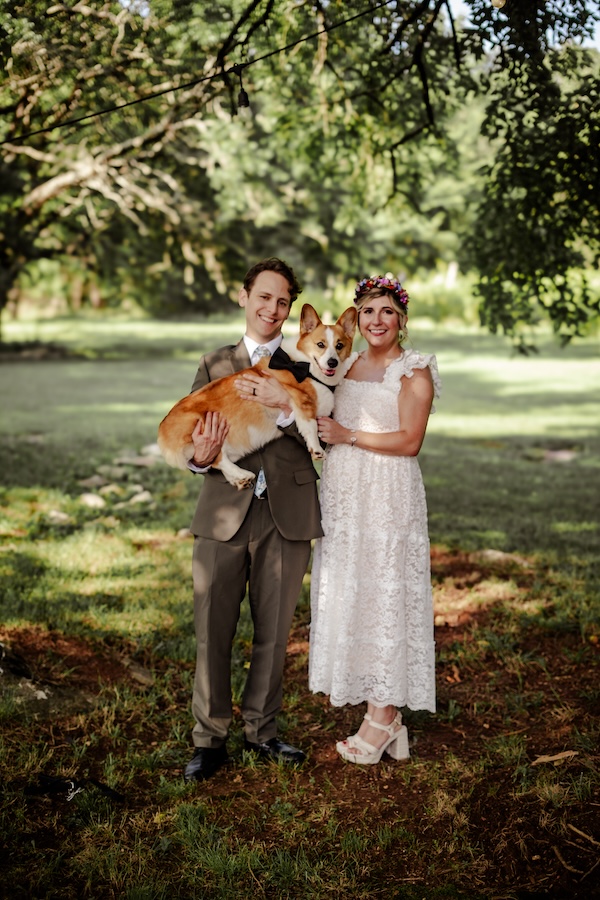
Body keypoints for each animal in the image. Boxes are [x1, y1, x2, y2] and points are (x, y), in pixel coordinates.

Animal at [157, 304, 358, 488]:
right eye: (320, 345)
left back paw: (238, 479)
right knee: (216, 458)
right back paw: (242, 474)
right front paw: (316, 450)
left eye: (339, 346)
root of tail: (162, 430)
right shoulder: (303, 402)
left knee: (216, 461)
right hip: (204, 429)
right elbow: (310, 427)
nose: (332, 362)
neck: (306, 366)